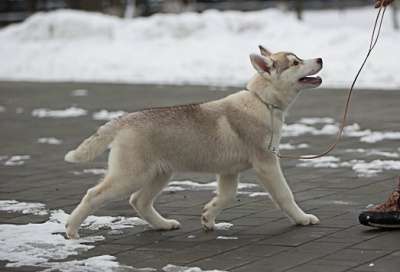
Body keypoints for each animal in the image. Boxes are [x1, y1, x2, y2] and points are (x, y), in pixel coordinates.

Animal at [64, 46, 324, 238]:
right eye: (295, 63)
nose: (320, 58)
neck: (262, 101)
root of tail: (125, 119)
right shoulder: (266, 164)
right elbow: (285, 194)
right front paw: (303, 219)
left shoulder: (228, 171)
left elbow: (227, 196)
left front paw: (208, 217)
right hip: (130, 176)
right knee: (93, 194)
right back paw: (72, 230)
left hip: (160, 173)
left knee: (139, 200)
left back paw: (163, 224)